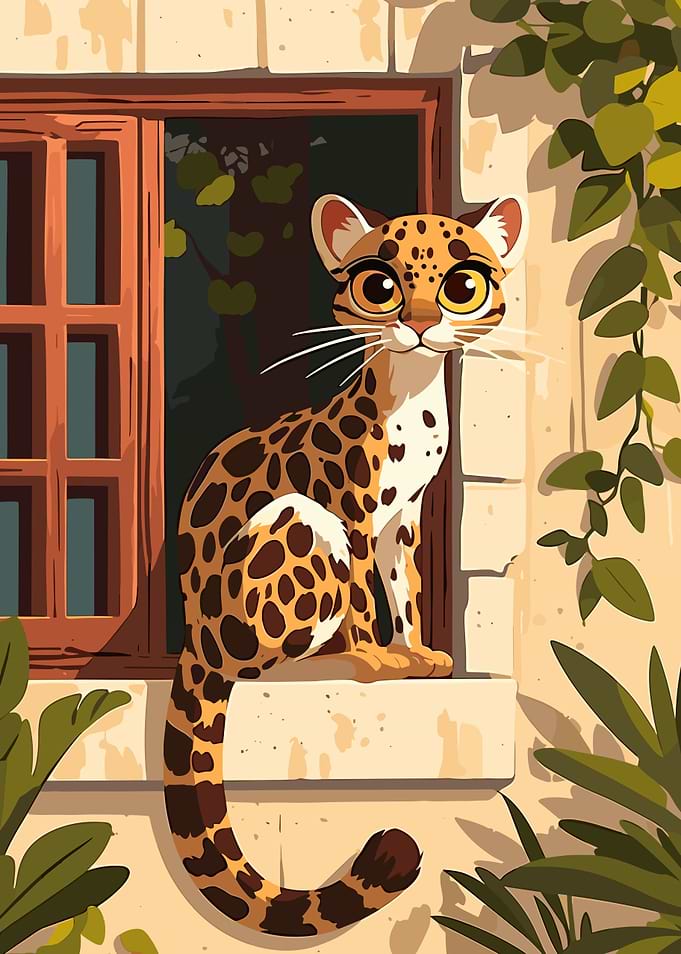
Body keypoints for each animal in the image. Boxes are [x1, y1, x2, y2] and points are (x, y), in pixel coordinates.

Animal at [163, 192, 528, 937]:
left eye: (462, 286)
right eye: (379, 287)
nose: (418, 324)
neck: (415, 404)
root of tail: (195, 641)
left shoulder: (404, 521)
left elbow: (404, 591)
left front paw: (416, 652)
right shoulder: (353, 513)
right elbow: (363, 594)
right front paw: (376, 656)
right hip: (299, 519)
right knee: (275, 657)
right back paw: (334, 659)